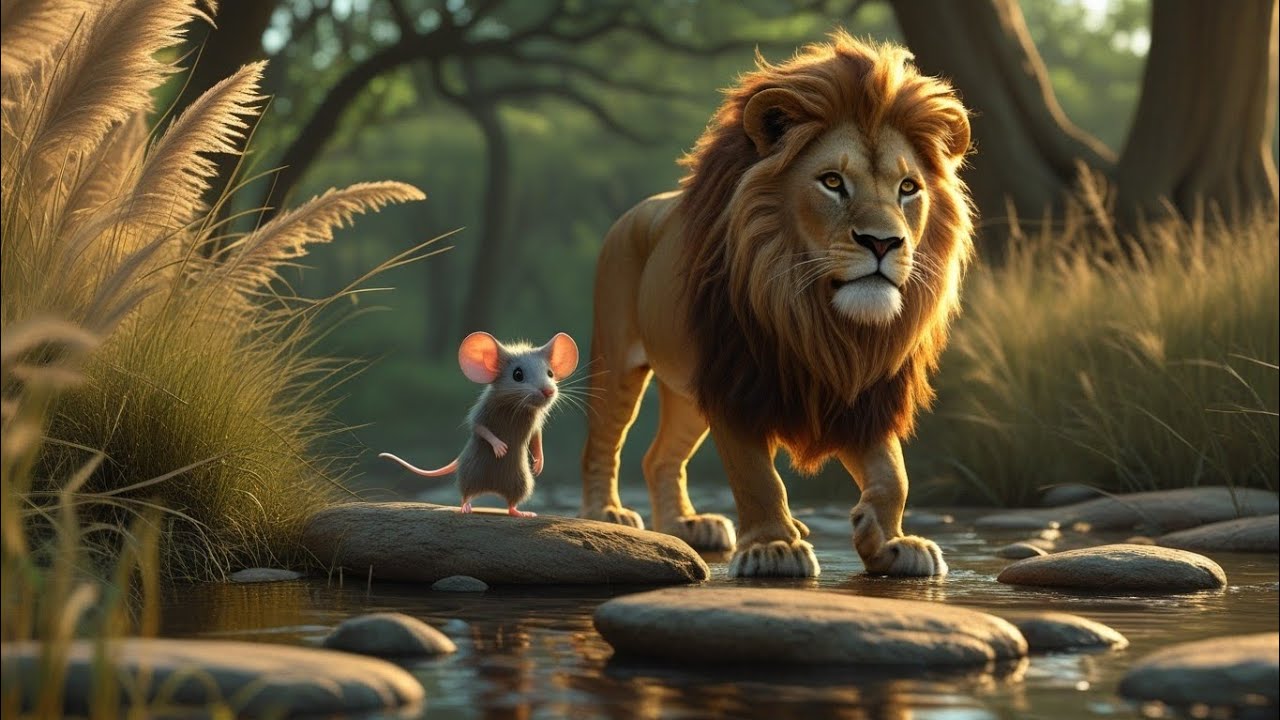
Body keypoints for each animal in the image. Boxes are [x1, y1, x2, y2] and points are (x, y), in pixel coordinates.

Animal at [579, 31, 974, 578]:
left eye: (908, 188)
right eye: (833, 182)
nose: (883, 242)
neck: (819, 317)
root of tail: (638, 210)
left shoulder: (860, 391)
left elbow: (895, 473)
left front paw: (890, 540)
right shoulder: (737, 382)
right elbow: (756, 477)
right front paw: (774, 547)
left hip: (688, 393)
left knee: (659, 458)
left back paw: (688, 525)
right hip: (617, 360)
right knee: (603, 443)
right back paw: (608, 515)